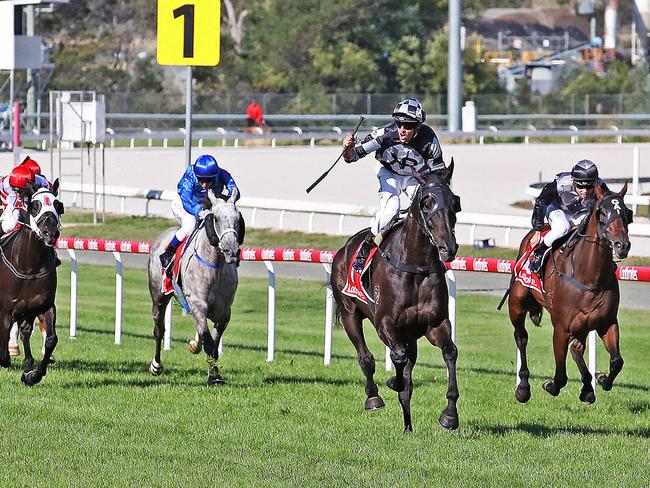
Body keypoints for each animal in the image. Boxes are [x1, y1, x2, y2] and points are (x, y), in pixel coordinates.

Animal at [0, 183, 63, 386]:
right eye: (35, 206)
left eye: (58, 205)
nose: (50, 233)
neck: (29, 267)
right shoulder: (6, 310)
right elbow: (4, 354)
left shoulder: (44, 305)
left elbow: (51, 339)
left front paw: (33, 374)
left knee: (26, 331)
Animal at [147, 191, 243, 386]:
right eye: (216, 218)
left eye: (237, 219)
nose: (232, 251)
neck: (215, 266)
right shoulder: (198, 304)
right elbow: (208, 342)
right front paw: (214, 376)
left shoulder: (224, 312)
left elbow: (213, 343)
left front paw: (214, 373)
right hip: (158, 297)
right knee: (159, 330)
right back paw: (156, 365)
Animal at [330, 163, 460, 430]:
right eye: (427, 202)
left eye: (454, 201)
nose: (448, 248)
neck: (416, 266)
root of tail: (344, 248)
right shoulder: (386, 323)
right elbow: (397, 358)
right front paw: (392, 382)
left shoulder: (435, 324)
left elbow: (450, 352)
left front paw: (450, 414)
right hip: (349, 313)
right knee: (365, 357)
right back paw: (373, 397)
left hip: (410, 333)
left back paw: (408, 427)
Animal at [508, 183, 632, 404]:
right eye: (602, 212)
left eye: (626, 213)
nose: (622, 245)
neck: (589, 277)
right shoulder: (561, 328)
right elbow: (560, 376)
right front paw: (550, 385)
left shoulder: (607, 322)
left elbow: (617, 360)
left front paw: (601, 378)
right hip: (516, 303)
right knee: (521, 336)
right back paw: (522, 388)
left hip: (582, 325)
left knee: (577, 349)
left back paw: (588, 387)